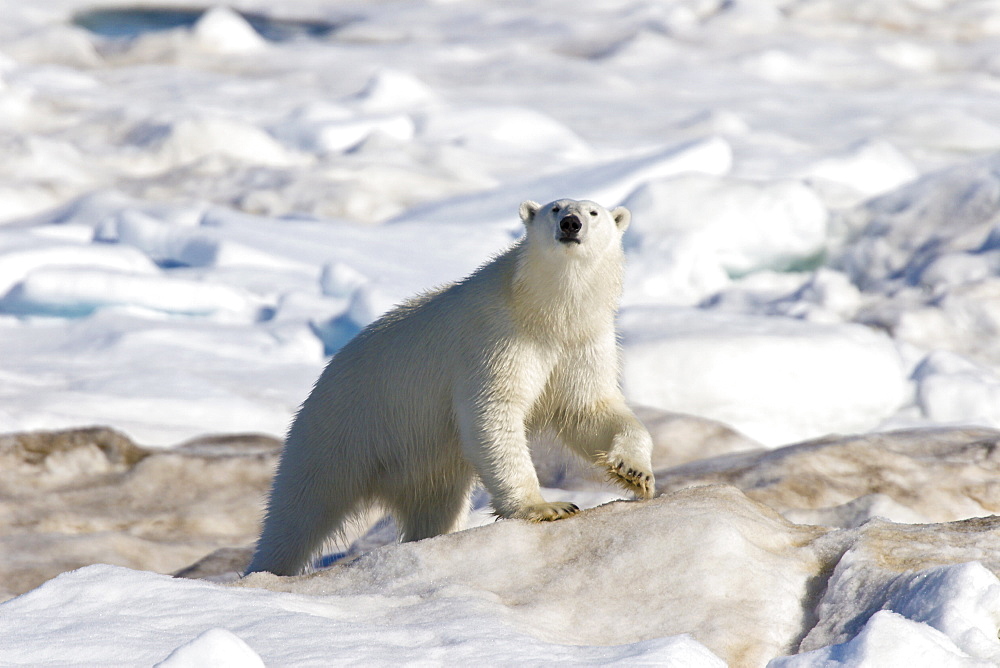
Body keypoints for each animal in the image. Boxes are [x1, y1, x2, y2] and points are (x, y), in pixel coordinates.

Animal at [246, 197, 656, 576]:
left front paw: (635, 473)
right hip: (342, 430)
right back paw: (266, 569)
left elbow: (588, 408)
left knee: (436, 509)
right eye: (555, 208)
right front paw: (546, 506)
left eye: (594, 213)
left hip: (424, 465)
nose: (571, 223)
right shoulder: (496, 339)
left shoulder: (581, 344)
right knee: (300, 509)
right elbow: (494, 410)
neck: (543, 312)